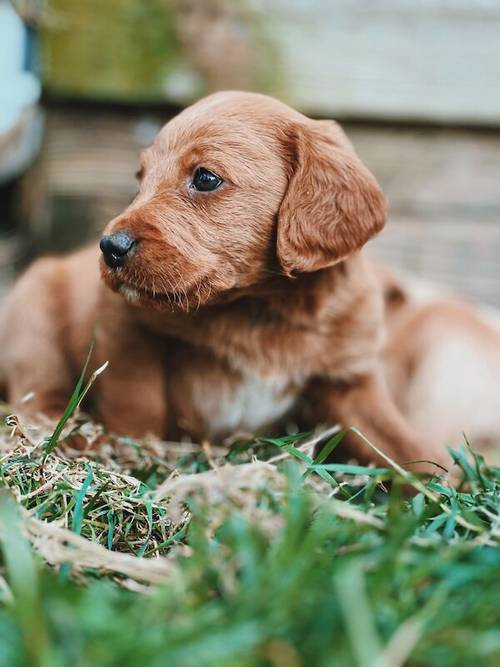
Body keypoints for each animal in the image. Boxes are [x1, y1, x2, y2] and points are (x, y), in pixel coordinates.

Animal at [0, 92, 446, 470]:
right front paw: (126, 450)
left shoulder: (349, 380)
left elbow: (397, 443)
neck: (259, 307)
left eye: (206, 178)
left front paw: (443, 485)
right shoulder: (126, 326)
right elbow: (138, 402)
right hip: (32, 309)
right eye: (141, 178)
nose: (110, 246)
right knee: (36, 391)